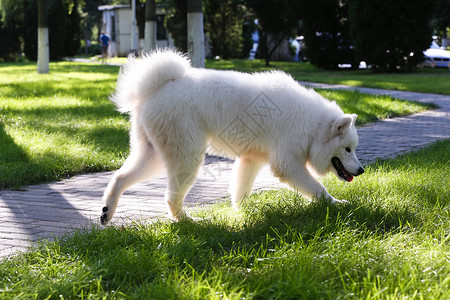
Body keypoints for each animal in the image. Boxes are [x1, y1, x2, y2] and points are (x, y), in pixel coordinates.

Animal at [100, 49, 364, 224]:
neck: (312, 125)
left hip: (152, 154)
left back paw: (106, 212)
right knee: (170, 197)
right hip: (187, 157)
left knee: (120, 178)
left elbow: (241, 190)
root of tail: (159, 86)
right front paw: (336, 204)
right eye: (348, 149)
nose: (361, 170)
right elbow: (317, 188)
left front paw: (242, 214)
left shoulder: (251, 159)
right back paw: (187, 220)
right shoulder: (288, 164)